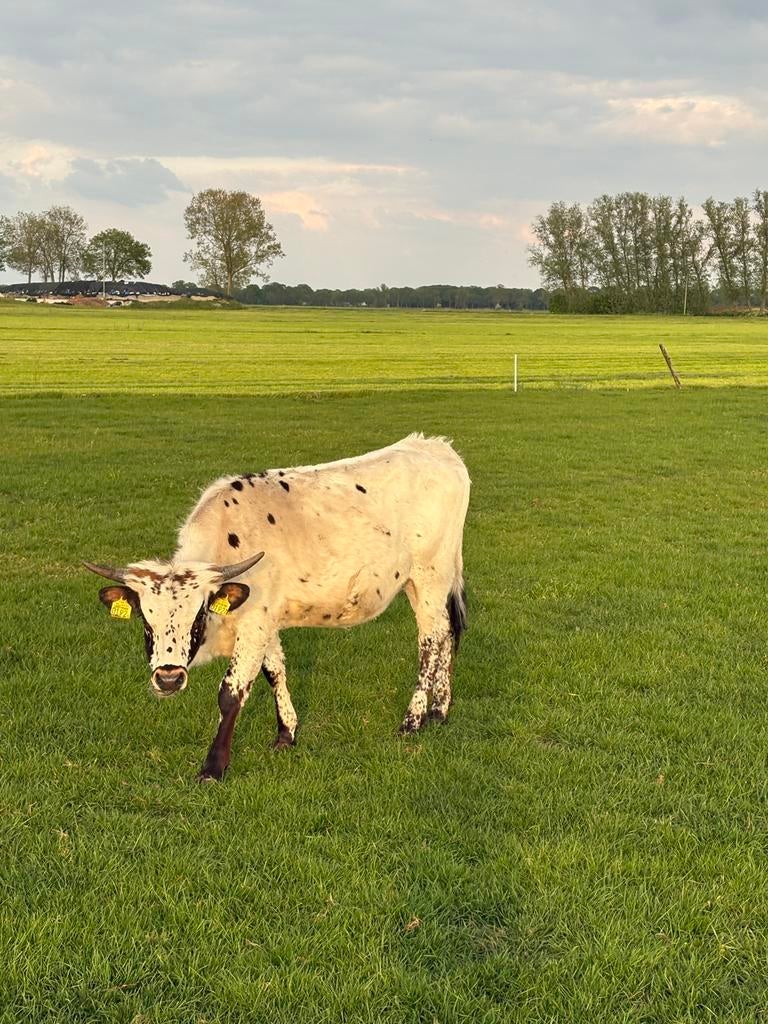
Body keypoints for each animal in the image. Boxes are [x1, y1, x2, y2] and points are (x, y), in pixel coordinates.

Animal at [84, 433, 470, 781]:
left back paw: (413, 719)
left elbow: (231, 692)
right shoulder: (266, 620)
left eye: (198, 615)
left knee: (430, 641)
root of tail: (437, 447)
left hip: (430, 575)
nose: (168, 678)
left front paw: (213, 767)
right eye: (145, 619)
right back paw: (440, 710)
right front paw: (286, 733)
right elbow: (275, 672)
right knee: (447, 633)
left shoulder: (254, 624)